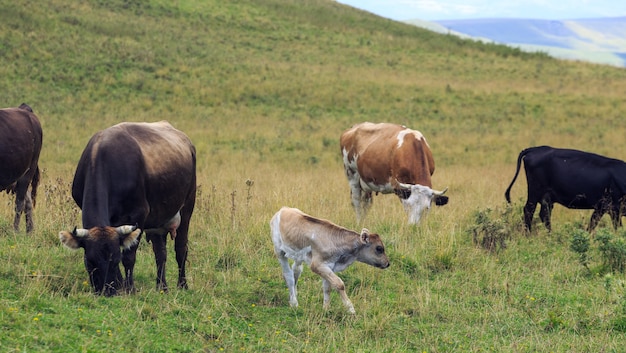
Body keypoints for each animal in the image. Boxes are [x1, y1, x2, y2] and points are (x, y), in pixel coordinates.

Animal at [59, 121, 195, 294]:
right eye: (90, 262)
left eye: (115, 260)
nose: (107, 291)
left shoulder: (138, 215)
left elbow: (129, 257)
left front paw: (130, 288)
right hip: (158, 220)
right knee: (160, 253)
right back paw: (161, 287)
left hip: (187, 208)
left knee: (181, 249)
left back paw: (182, 284)